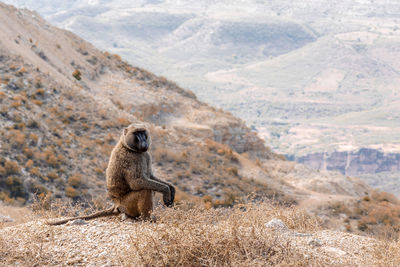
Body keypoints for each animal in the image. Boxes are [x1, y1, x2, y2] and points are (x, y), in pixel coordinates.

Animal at [46, 123, 174, 226]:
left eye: (143, 132)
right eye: (137, 133)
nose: (143, 142)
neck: (128, 147)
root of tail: (116, 205)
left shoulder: (146, 155)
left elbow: (150, 176)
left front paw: (171, 189)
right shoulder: (131, 159)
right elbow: (137, 182)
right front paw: (166, 191)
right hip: (126, 205)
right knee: (145, 191)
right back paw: (147, 219)